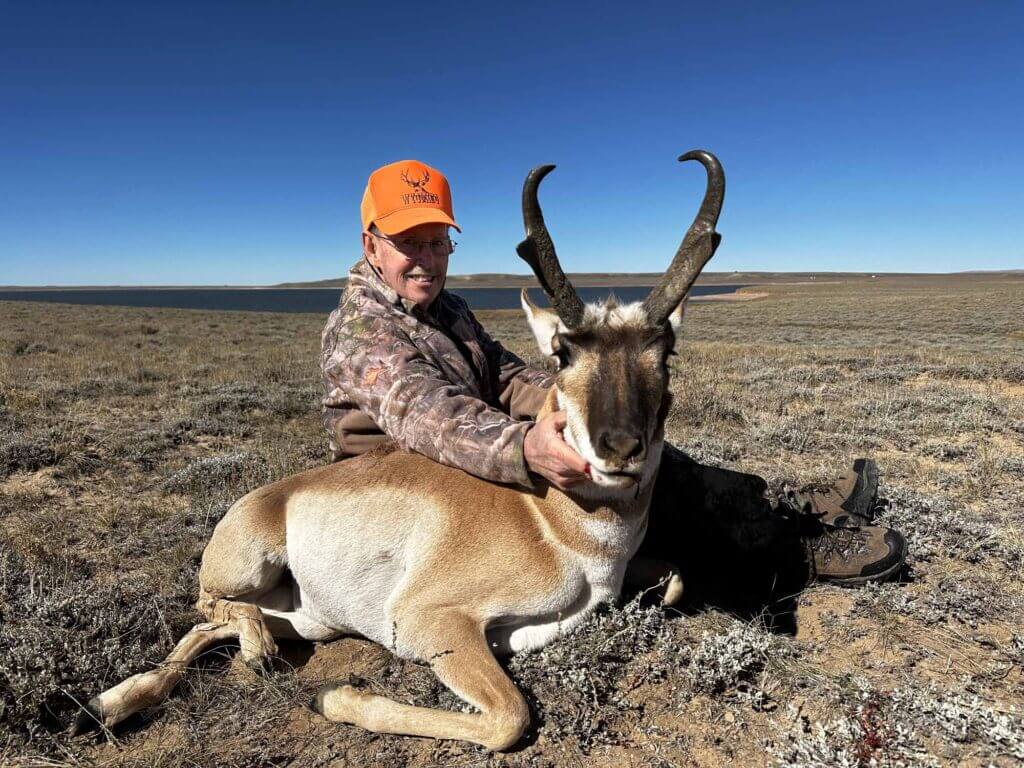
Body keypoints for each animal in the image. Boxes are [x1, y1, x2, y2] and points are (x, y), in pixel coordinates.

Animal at [72, 150, 724, 751]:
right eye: (563, 353)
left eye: (665, 351)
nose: (621, 449)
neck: (552, 522)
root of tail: (266, 496)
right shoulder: (429, 620)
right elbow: (510, 718)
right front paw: (333, 697)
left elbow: (676, 578)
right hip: (250, 569)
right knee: (214, 607)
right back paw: (236, 662)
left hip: (310, 620)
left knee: (212, 629)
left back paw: (108, 704)